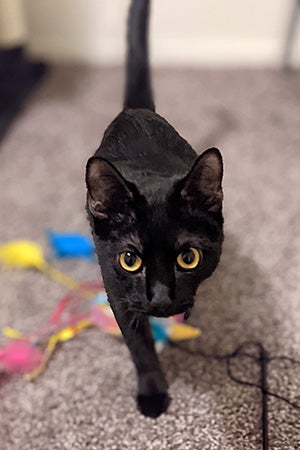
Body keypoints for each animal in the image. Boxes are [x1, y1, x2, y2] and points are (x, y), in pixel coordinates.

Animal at [85, 0, 224, 418]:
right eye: (130, 260)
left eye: (188, 258)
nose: (162, 299)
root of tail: (136, 111)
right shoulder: (116, 289)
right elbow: (140, 348)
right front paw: (152, 393)